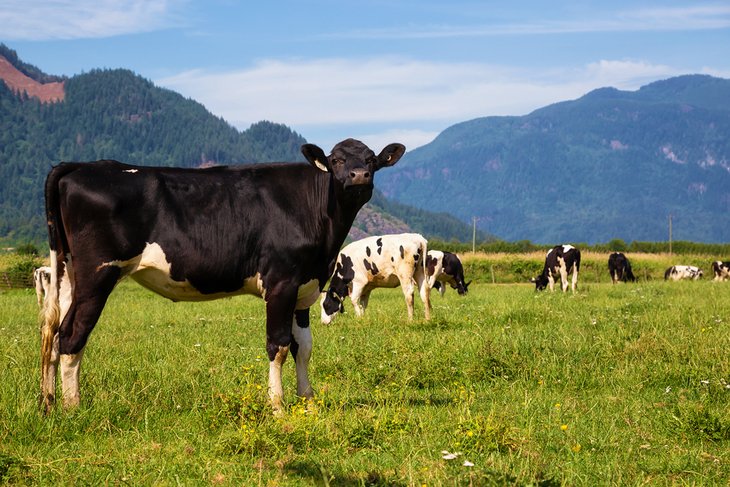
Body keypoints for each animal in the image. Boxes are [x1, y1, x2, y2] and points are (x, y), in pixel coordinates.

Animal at [38, 138, 404, 416]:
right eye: (336, 160)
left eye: (371, 159)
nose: (359, 175)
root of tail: (81, 166)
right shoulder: (281, 283)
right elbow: (279, 345)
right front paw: (278, 407)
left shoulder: (306, 286)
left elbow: (304, 347)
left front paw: (308, 401)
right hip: (98, 273)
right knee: (71, 336)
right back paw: (73, 407)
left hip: (69, 275)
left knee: (52, 332)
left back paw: (48, 404)